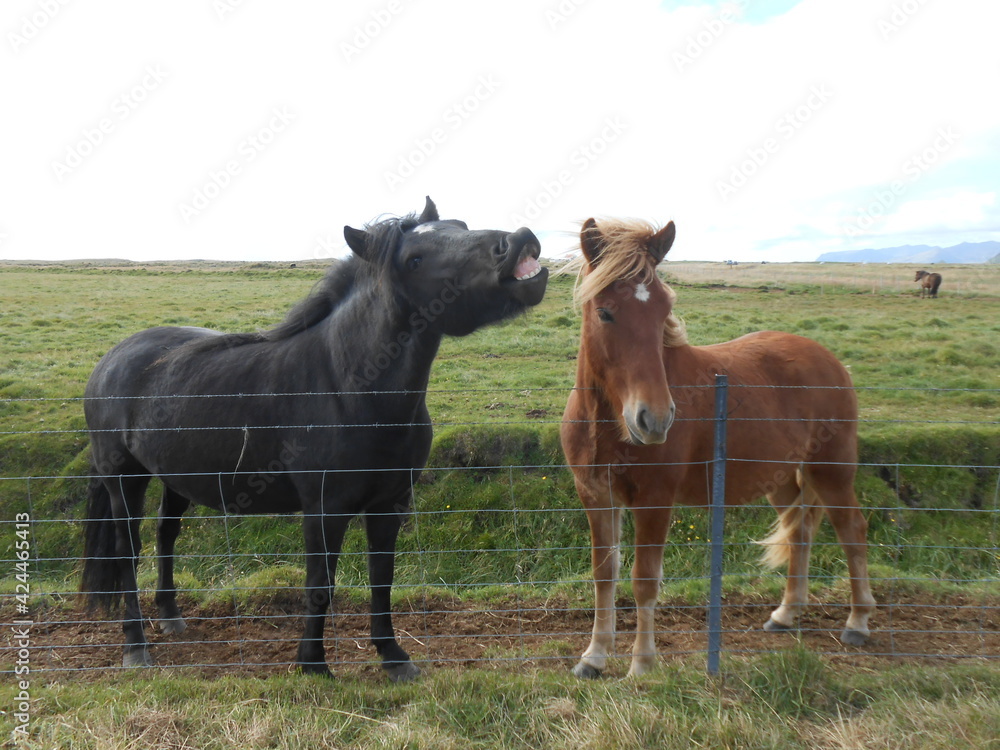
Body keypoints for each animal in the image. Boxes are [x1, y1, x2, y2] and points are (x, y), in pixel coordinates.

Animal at [82, 198, 552, 680]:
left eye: (460, 225)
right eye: (414, 259)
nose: (516, 242)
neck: (350, 386)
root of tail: (113, 358)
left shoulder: (390, 504)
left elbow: (382, 576)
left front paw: (393, 656)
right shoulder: (324, 509)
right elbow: (320, 583)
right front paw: (312, 663)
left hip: (176, 478)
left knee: (166, 534)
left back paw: (171, 617)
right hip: (124, 480)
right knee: (126, 551)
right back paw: (135, 646)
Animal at [564, 219, 876, 680]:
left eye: (663, 310)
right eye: (605, 311)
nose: (655, 419)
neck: (606, 425)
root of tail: (831, 361)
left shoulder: (655, 500)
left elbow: (644, 579)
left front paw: (642, 664)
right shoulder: (596, 496)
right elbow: (605, 574)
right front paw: (594, 657)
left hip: (832, 471)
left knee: (852, 531)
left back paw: (857, 622)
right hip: (782, 480)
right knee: (800, 532)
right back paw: (785, 614)